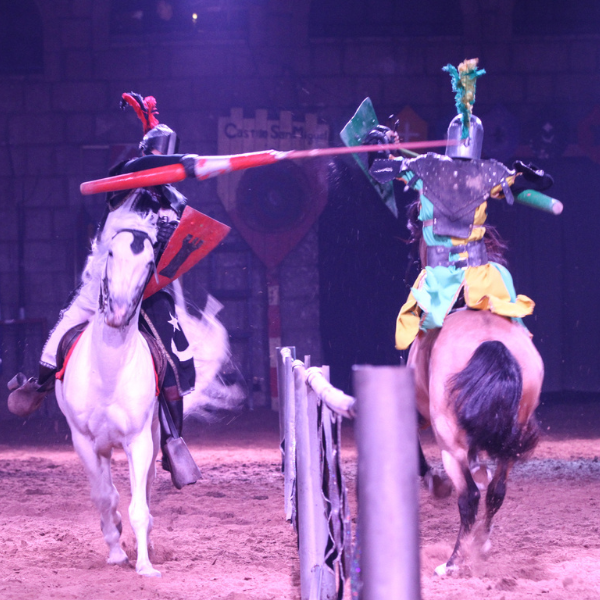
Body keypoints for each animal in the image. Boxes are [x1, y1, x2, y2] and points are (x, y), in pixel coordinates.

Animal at [54, 224, 161, 576]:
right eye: (111, 253)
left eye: (149, 264)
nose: (117, 312)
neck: (108, 373)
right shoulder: (84, 442)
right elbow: (104, 497)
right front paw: (116, 551)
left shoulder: (139, 441)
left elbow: (138, 506)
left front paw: (145, 565)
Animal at [412, 308, 544, 576]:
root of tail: (492, 341)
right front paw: (480, 470)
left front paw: (436, 482)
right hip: (508, 447)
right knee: (496, 492)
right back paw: (481, 542)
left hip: (450, 447)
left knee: (469, 497)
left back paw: (451, 563)